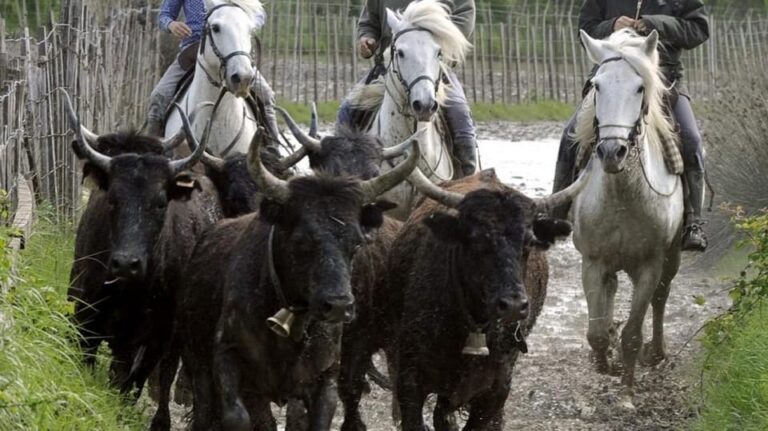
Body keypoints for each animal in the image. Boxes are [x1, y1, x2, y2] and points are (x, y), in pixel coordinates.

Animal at [568, 28, 684, 410]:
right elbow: (595, 334)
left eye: (639, 88)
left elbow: (633, 333)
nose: (611, 151)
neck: (622, 196)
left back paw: (656, 352)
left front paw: (628, 392)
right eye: (596, 86)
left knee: (661, 298)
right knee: (612, 292)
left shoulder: (650, 264)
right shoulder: (593, 261)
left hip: (671, 257)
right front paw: (606, 363)